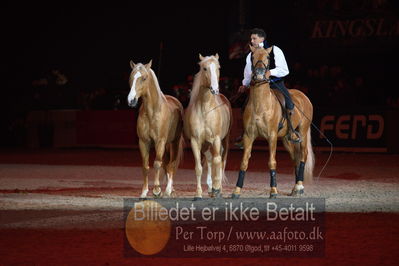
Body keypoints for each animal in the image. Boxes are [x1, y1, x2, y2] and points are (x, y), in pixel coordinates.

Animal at [127, 59, 185, 197]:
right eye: (131, 77)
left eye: (144, 78)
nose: (131, 100)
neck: (152, 112)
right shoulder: (143, 142)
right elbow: (145, 166)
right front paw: (144, 192)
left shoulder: (160, 142)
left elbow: (157, 164)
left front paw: (157, 190)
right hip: (167, 145)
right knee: (167, 164)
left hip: (174, 142)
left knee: (172, 163)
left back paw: (168, 190)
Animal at [185, 54, 234, 200]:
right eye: (204, 68)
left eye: (218, 67)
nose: (215, 89)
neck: (205, 110)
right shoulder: (196, 141)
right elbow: (199, 167)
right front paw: (198, 194)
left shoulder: (216, 139)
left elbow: (218, 161)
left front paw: (217, 189)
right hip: (207, 145)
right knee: (210, 160)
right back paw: (211, 188)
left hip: (224, 141)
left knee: (220, 161)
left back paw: (218, 189)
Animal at [231, 46, 316, 198]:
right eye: (252, 57)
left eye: (268, 57)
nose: (259, 74)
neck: (261, 105)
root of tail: (303, 96)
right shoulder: (249, 136)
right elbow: (244, 162)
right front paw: (237, 190)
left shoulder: (272, 136)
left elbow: (272, 162)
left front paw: (273, 191)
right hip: (287, 139)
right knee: (295, 158)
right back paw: (295, 187)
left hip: (302, 132)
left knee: (303, 155)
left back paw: (299, 186)